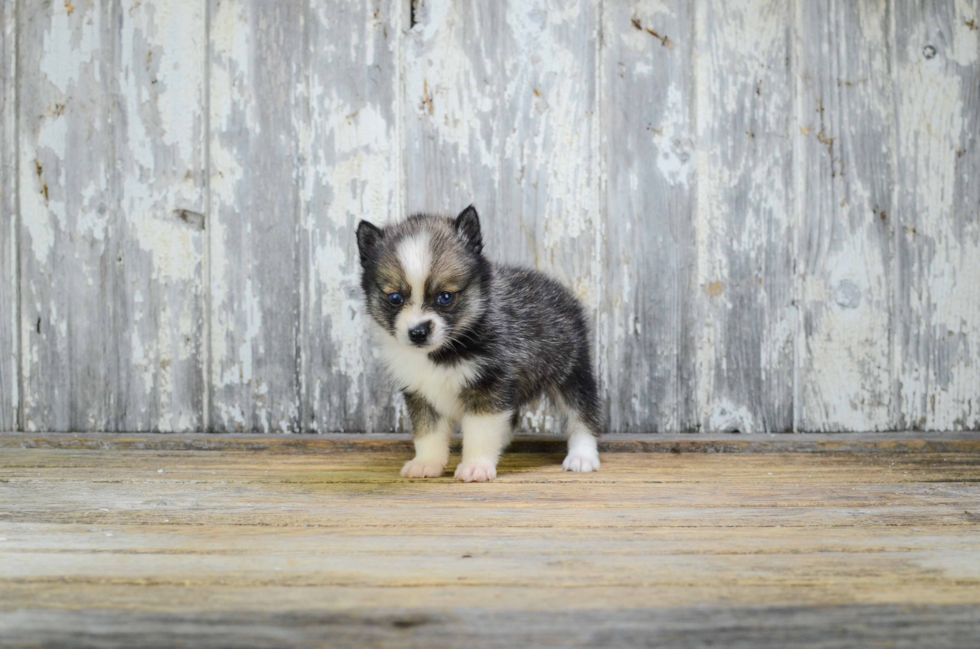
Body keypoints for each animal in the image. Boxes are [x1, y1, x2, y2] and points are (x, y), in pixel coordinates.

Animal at [356, 204, 600, 480]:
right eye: (395, 298)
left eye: (446, 297)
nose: (418, 332)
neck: (446, 350)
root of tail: (561, 291)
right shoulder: (421, 392)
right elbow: (427, 432)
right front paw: (427, 462)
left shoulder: (488, 385)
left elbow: (480, 432)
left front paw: (476, 466)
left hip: (572, 370)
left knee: (582, 415)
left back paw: (582, 456)